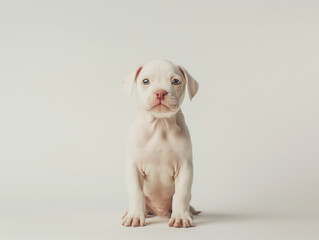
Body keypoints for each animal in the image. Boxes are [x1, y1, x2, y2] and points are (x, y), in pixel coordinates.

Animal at [122, 59, 200, 227]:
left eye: (175, 81)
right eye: (145, 81)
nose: (160, 92)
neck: (160, 125)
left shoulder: (185, 167)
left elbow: (181, 194)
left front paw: (181, 217)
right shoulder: (133, 166)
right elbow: (136, 192)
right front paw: (135, 216)